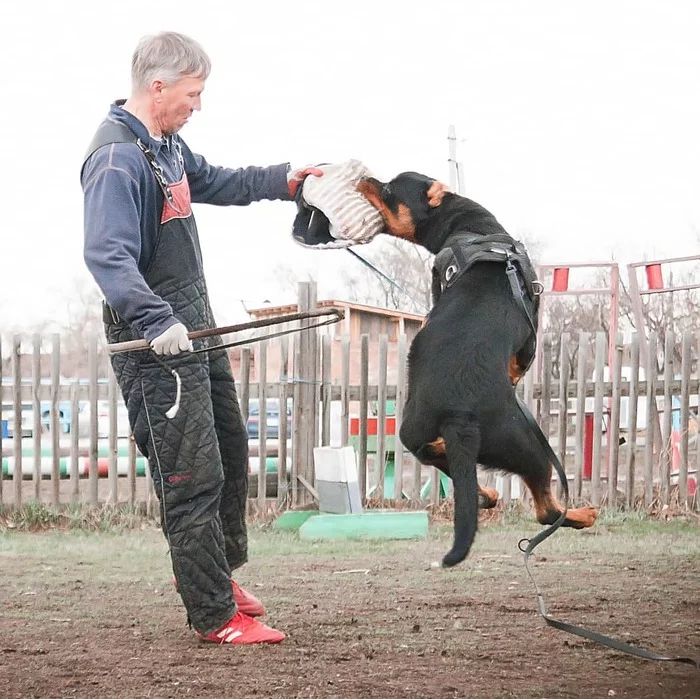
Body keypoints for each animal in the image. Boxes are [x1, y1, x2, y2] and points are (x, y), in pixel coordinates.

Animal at [358, 172, 600, 568]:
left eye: (390, 189)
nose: (364, 178)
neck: (469, 227)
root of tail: (458, 415)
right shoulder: (530, 331)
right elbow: (521, 360)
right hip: (530, 447)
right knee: (546, 510)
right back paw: (584, 515)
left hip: (414, 430)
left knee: (435, 457)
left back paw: (486, 492)